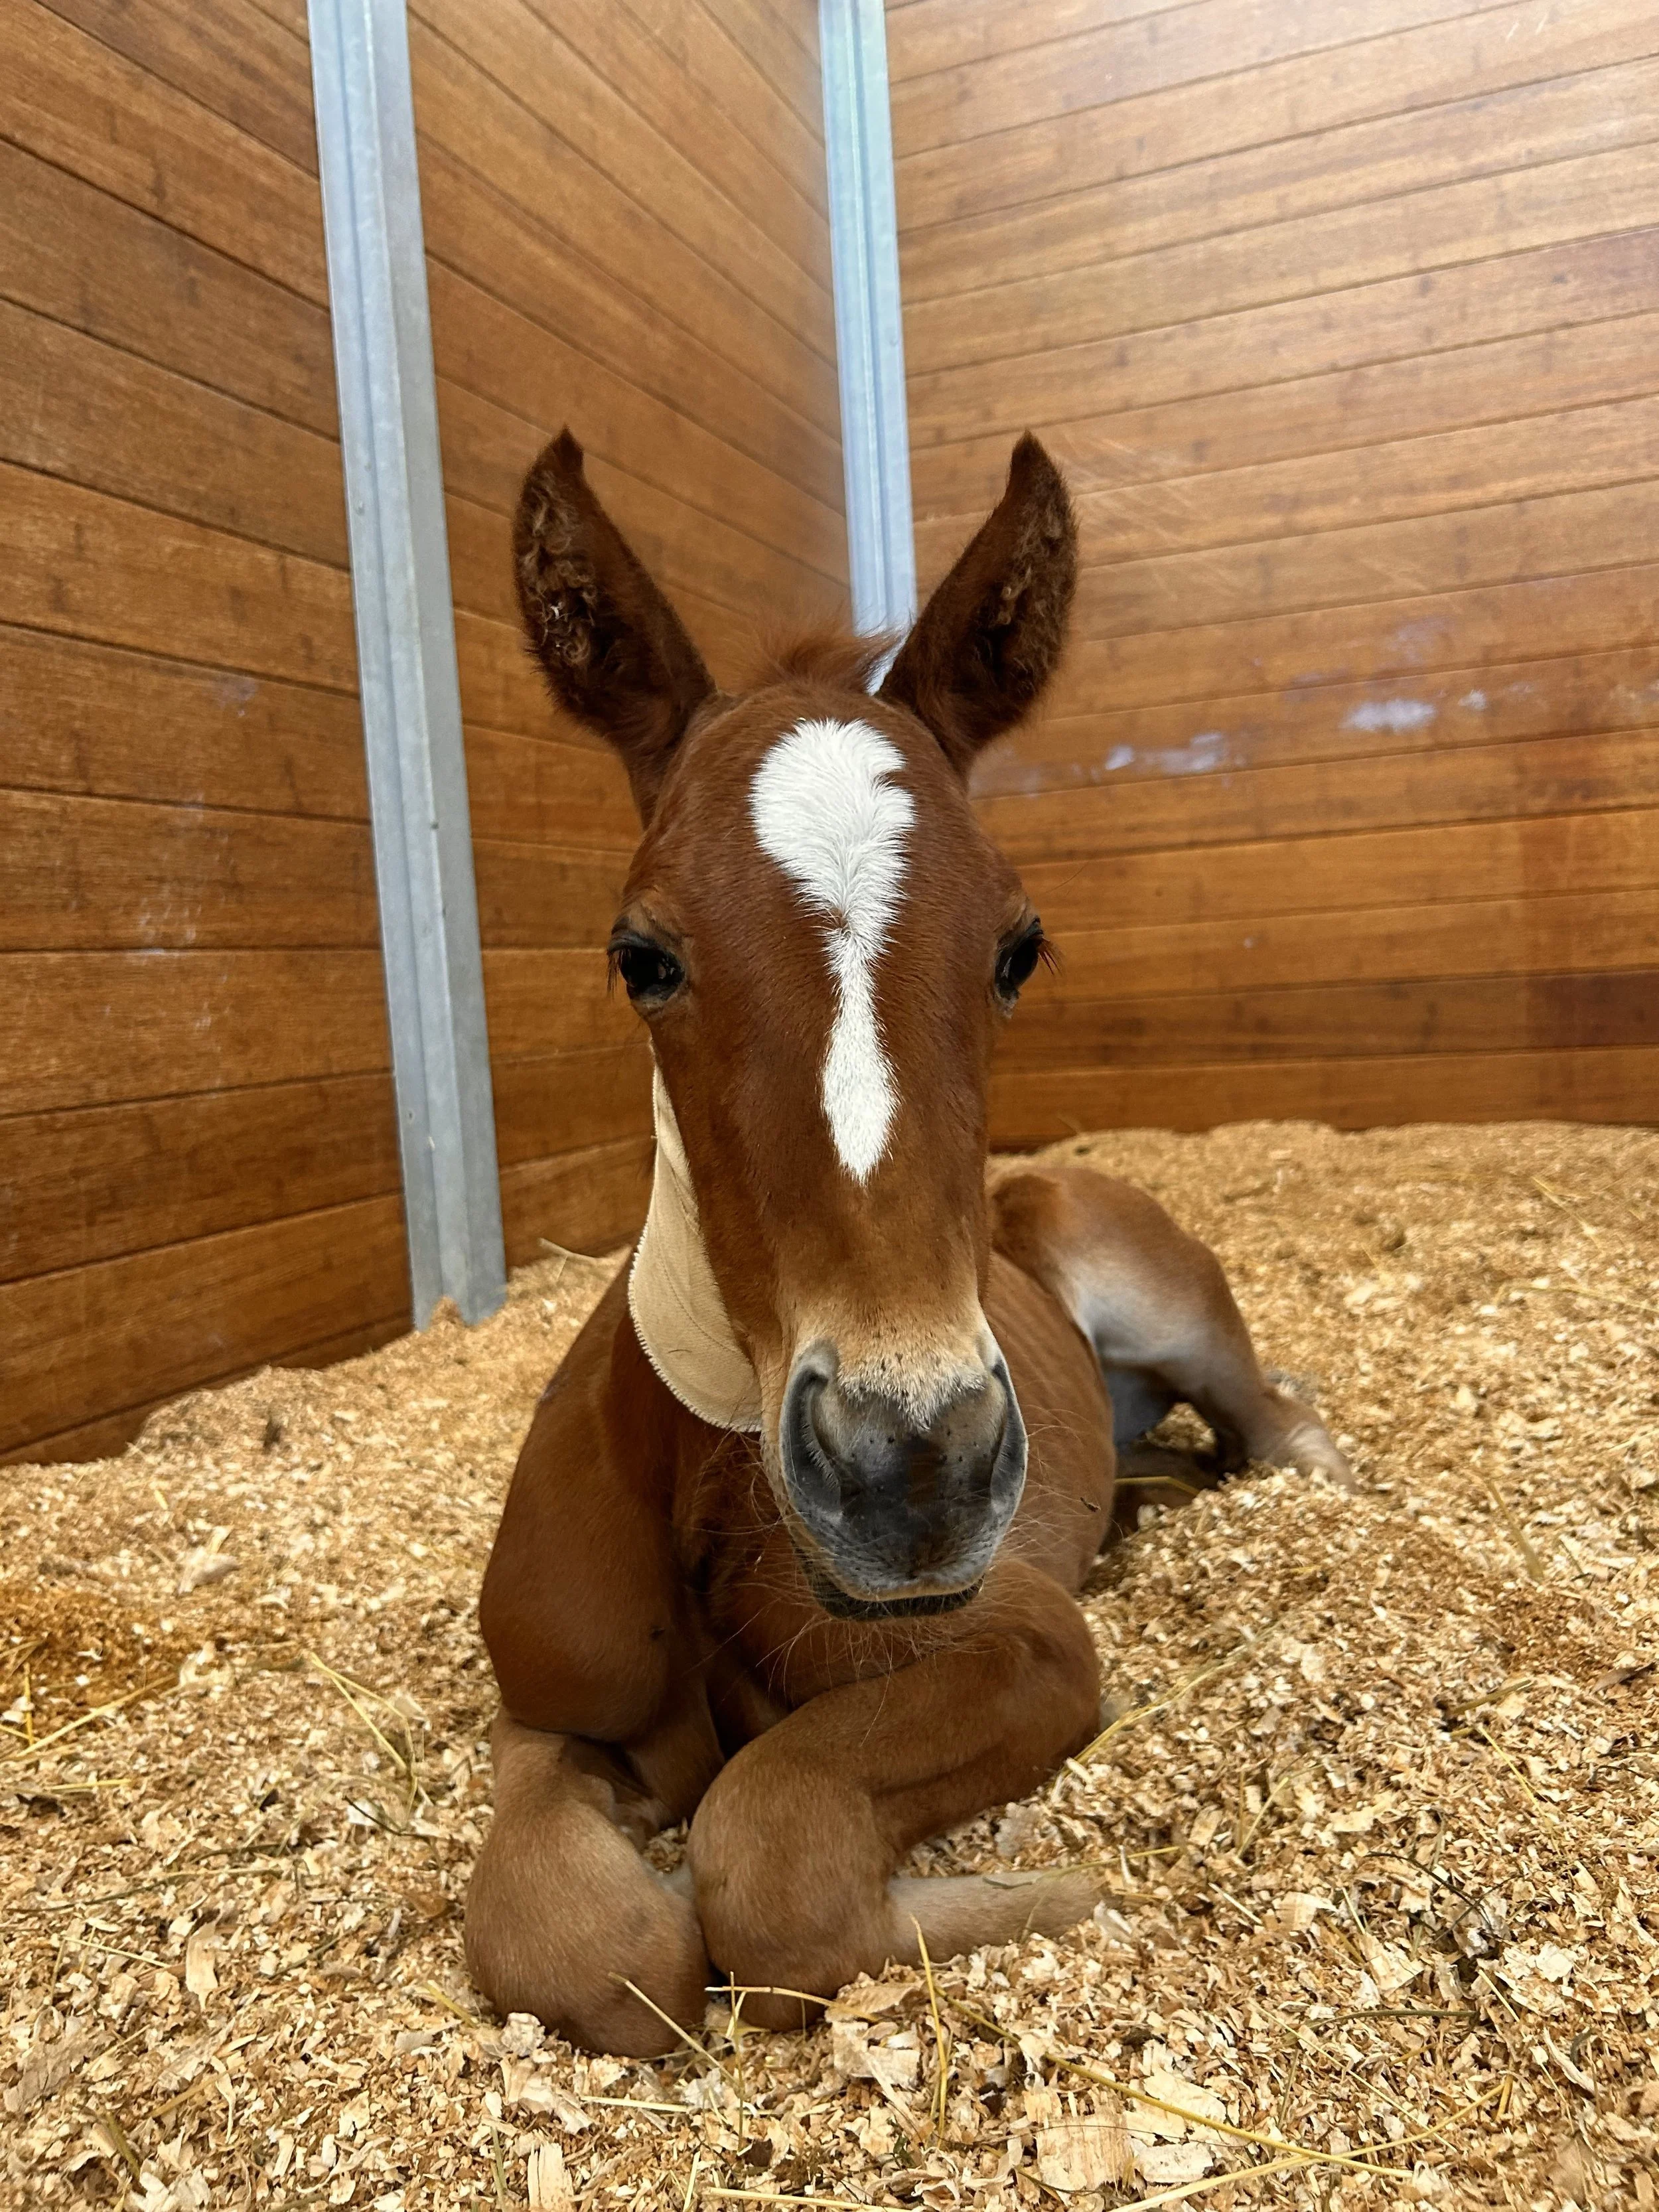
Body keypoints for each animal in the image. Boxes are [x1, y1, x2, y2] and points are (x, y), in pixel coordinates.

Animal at [464, 428, 1352, 2056]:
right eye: (641, 955)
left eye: (1017, 948)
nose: (911, 1468)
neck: (708, 1497)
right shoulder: (543, 1702)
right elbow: (581, 1938)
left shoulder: (1020, 1644)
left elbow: (768, 1849)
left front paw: (1046, 1901)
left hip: (1157, 1292)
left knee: (1274, 1419)